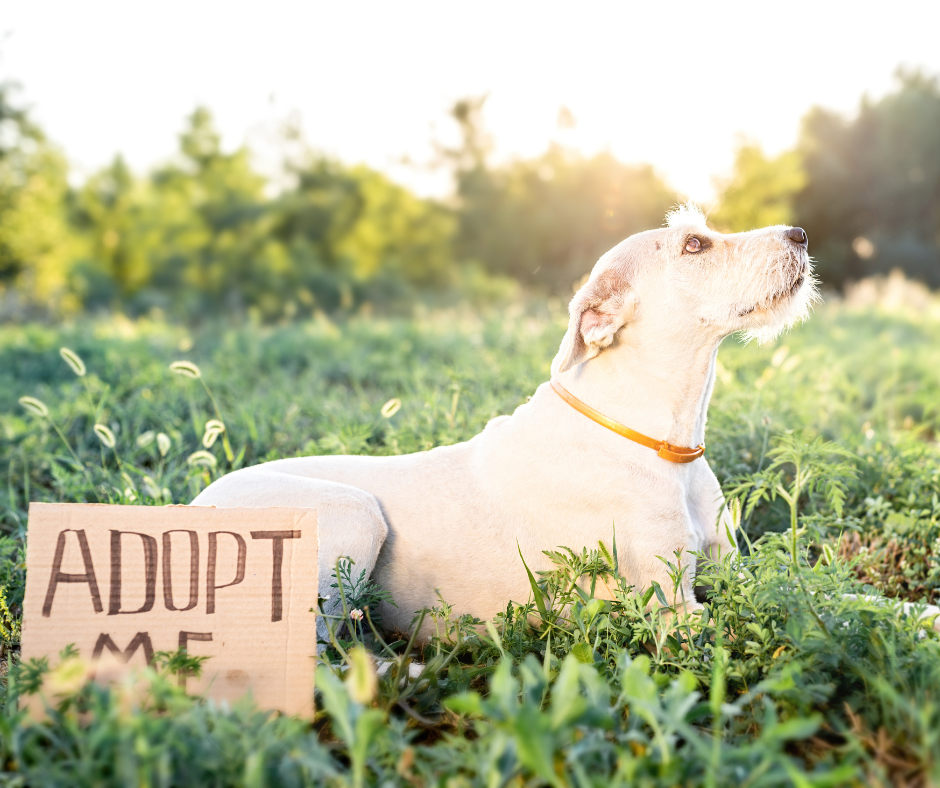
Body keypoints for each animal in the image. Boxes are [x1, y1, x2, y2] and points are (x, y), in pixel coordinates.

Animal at [191, 206, 816, 636]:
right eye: (694, 244)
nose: (800, 234)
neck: (658, 441)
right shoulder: (673, 610)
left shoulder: (731, 565)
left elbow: (790, 588)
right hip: (354, 515)